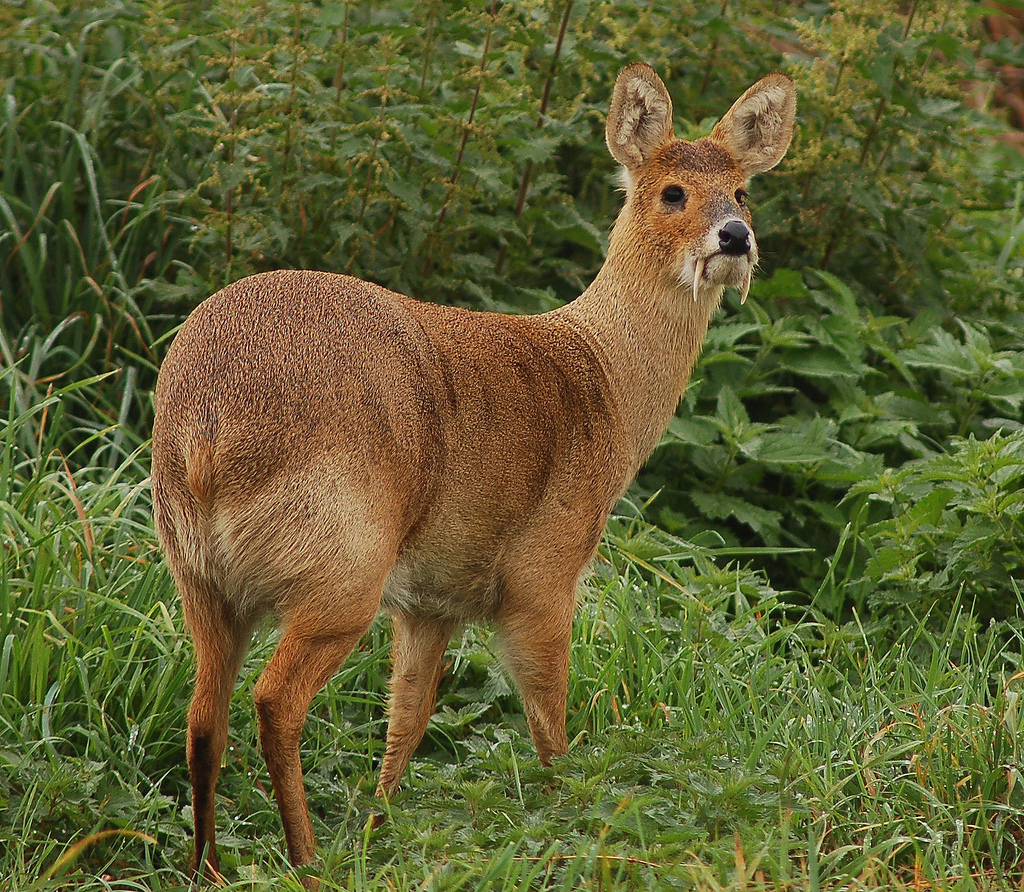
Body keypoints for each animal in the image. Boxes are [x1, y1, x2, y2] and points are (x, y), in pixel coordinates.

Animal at [151, 62, 794, 884]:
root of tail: (202, 429)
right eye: (672, 191)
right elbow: (550, 728)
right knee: (275, 701)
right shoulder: (542, 576)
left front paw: (382, 828)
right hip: (340, 567)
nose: (735, 237)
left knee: (203, 718)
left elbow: (407, 720)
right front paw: (570, 827)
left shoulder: (433, 599)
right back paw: (308, 858)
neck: (602, 383)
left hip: (201, 577)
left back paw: (209, 865)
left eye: (743, 189)